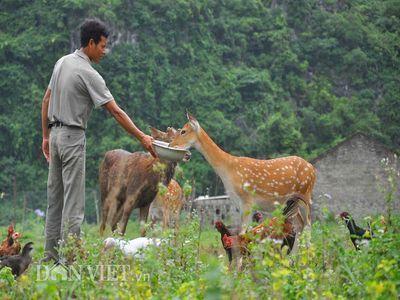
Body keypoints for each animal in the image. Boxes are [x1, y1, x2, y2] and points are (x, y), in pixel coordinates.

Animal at [169, 113, 316, 233]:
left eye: (183, 131)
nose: (171, 145)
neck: (229, 170)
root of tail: (312, 169)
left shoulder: (247, 199)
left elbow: (243, 233)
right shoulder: (238, 203)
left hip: (305, 195)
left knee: (308, 225)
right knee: (300, 224)